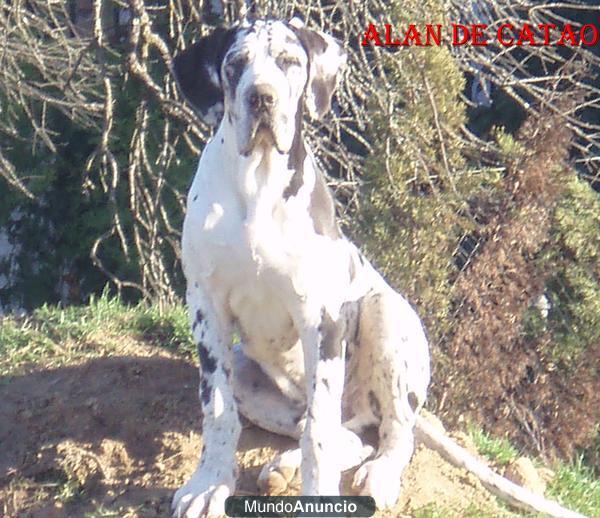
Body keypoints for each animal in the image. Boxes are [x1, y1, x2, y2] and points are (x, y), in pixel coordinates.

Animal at [171, 17, 428, 518]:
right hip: (246, 370)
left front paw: (319, 492)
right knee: (343, 433)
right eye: (236, 64)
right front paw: (210, 484)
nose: (262, 97)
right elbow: (217, 410)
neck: (258, 185)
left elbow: (319, 434)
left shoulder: (320, 319)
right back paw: (283, 468)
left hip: (386, 317)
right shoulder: (206, 307)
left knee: (390, 433)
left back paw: (379, 474)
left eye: (290, 62)